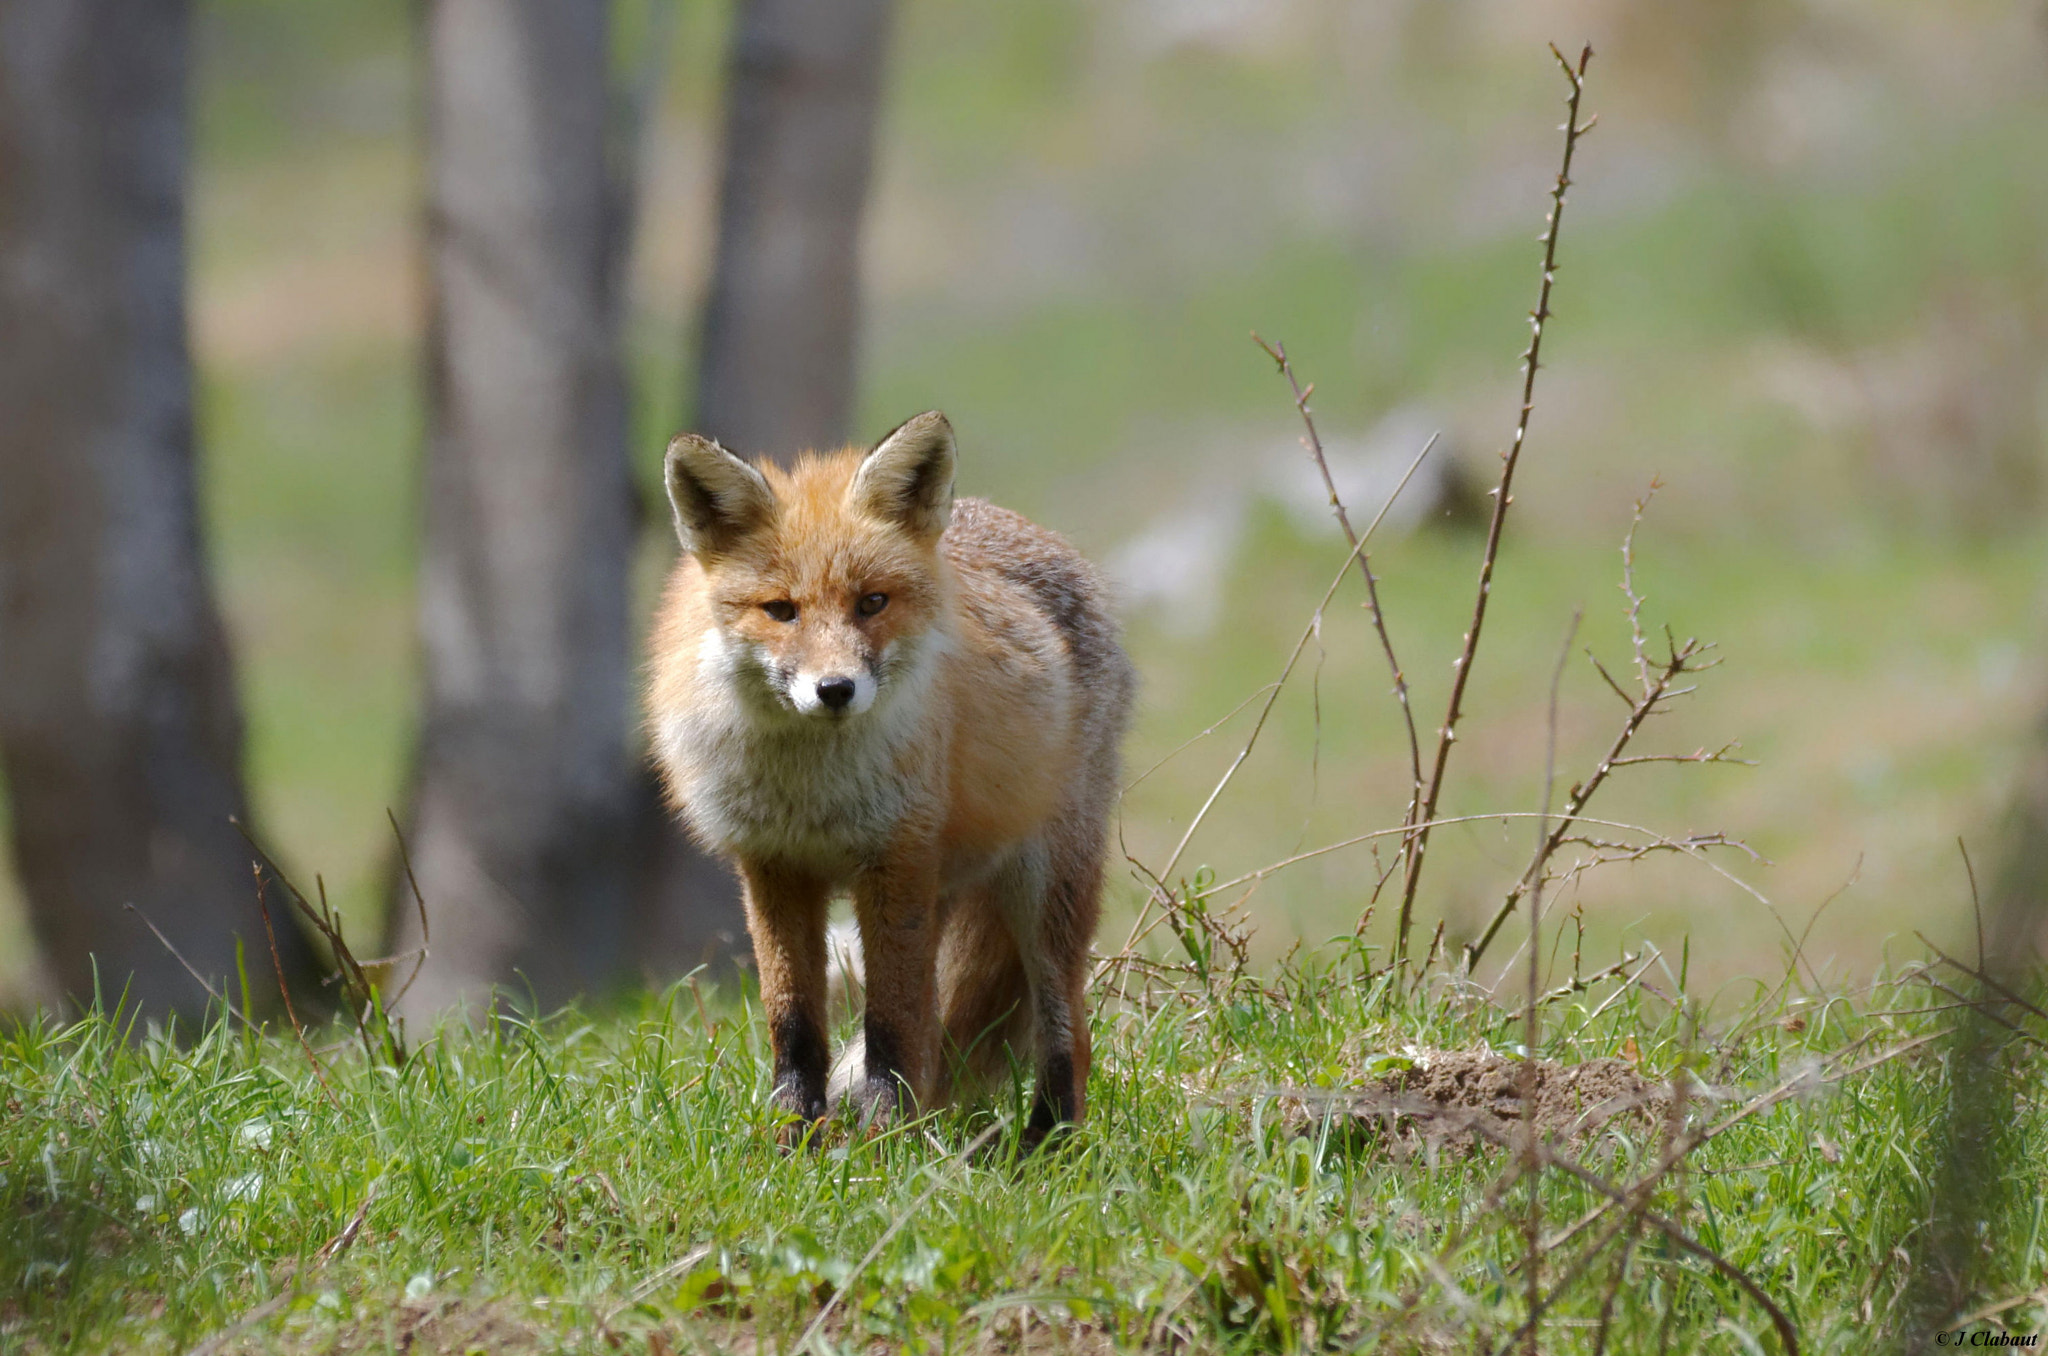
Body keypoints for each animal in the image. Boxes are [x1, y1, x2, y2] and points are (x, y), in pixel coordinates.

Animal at [647, 413, 1138, 1147]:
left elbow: (890, 1025)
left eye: (872, 603)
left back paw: (1046, 1148)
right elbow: (794, 1023)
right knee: (943, 1032)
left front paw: (877, 1147)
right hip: (952, 891)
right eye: (781, 610)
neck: (811, 791)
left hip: (1045, 886)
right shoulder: (772, 868)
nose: (835, 689)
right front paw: (792, 1140)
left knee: (1067, 1033)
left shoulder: (895, 859)